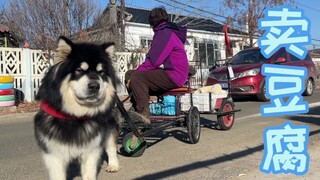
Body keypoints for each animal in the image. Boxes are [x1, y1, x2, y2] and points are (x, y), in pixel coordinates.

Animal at [34, 36, 120, 180]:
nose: (95, 86)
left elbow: (89, 171)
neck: (75, 116)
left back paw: (113, 165)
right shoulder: (54, 152)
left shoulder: (91, 149)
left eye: (101, 72)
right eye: (79, 70)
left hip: (109, 127)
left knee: (111, 146)